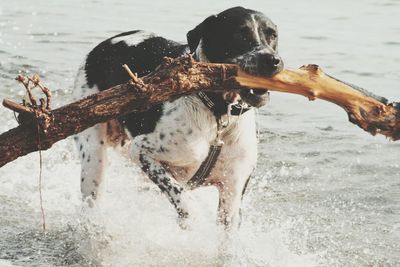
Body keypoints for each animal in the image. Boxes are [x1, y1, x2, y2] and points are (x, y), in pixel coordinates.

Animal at [73, 5, 282, 228]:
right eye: (239, 34)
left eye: (273, 35)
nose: (272, 60)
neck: (218, 114)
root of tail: (101, 46)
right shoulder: (142, 151)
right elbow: (180, 194)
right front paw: (191, 217)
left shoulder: (232, 193)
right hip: (94, 159)